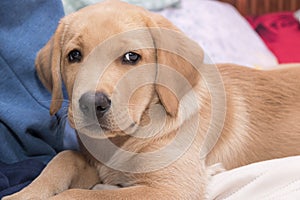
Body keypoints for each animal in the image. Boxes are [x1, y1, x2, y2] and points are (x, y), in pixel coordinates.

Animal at [4, 0, 300, 200]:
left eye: (131, 57)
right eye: (74, 55)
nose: (91, 104)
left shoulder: (170, 188)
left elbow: (83, 194)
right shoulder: (98, 166)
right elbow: (63, 158)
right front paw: (23, 194)